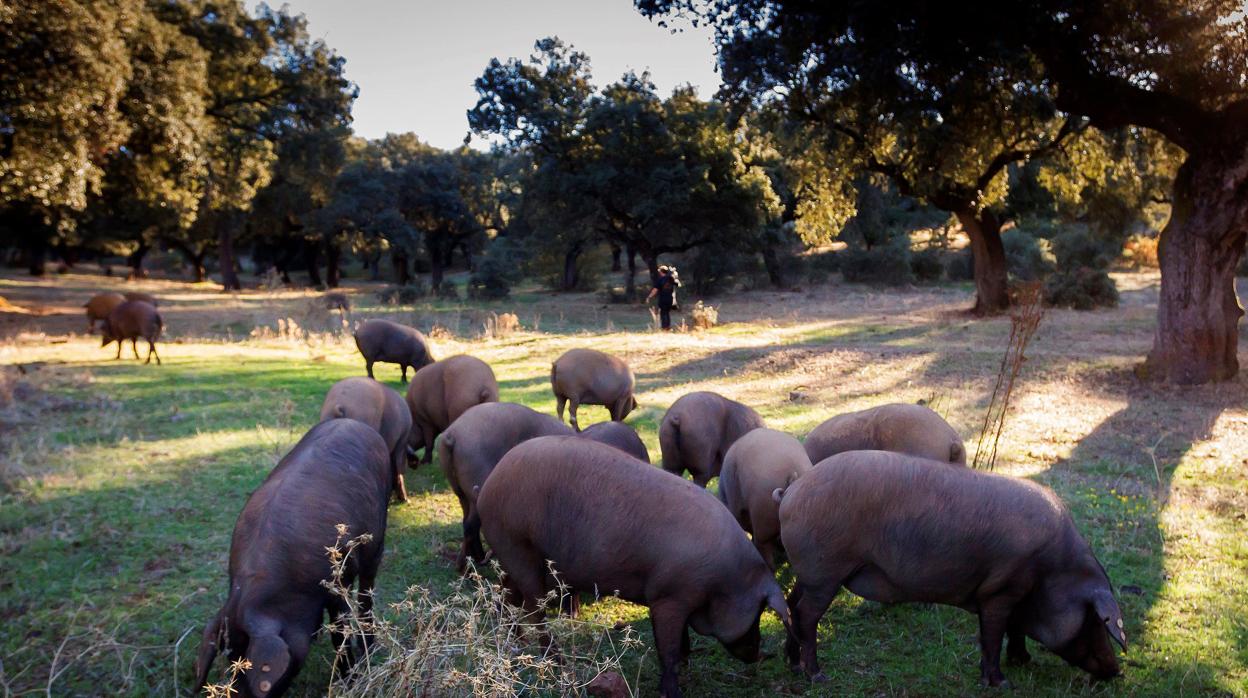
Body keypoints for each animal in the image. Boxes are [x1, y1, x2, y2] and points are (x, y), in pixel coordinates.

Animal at [476, 437, 788, 698]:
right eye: (759, 611)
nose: (758, 655)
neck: (724, 582)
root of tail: (490, 483)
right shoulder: (668, 597)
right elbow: (667, 648)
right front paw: (672, 691)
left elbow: (681, 640)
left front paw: (687, 662)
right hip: (518, 546)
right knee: (534, 609)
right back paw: (556, 661)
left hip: (512, 557)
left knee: (506, 597)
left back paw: (513, 643)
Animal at [773, 447, 1128, 689]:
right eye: (1096, 620)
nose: (1116, 670)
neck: (1052, 571)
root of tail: (792, 490)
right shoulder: (1001, 590)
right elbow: (993, 635)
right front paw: (1001, 683)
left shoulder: (1013, 594)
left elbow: (1011, 631)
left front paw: (1022, 661)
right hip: (825, 571)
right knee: (806, 615)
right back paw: (817, 674)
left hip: (809, 572)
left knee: (791, 604)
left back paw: (792, 665)